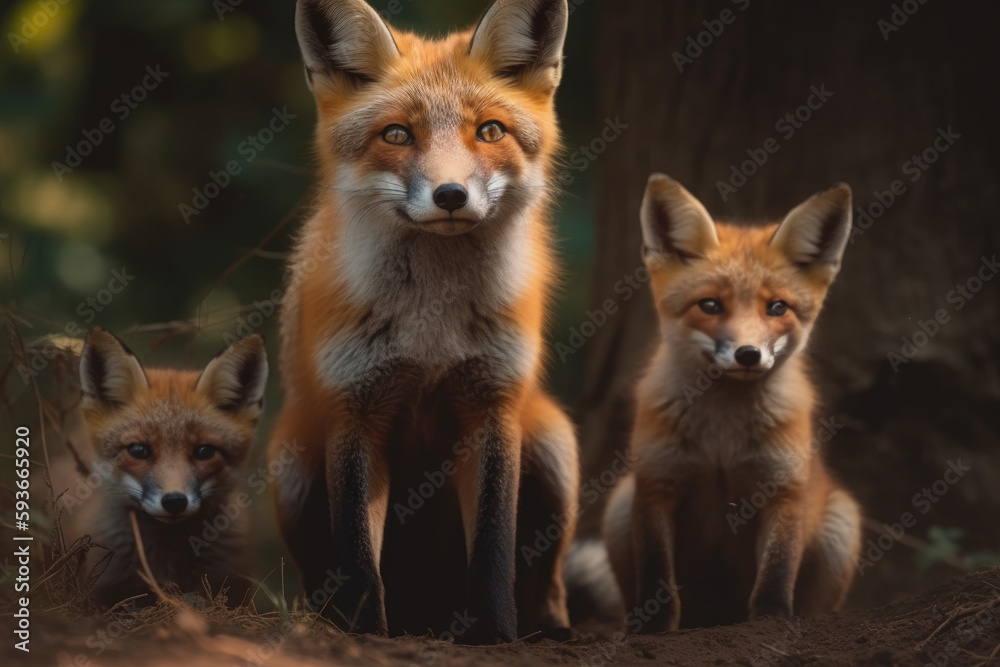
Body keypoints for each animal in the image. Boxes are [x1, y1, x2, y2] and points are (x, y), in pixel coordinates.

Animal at [266, 0, 578, 643]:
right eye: (397, 134)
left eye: (490, 131)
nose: (451, 194)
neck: (432, 330)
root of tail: (427, 610)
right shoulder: (354, 409)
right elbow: (358, 549)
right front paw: (363, 631)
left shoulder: (493, 404)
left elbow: (494, 544)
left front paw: (494, 633)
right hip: (290, 466)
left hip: (555, 447)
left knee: (550, 580)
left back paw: (546, 628)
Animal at [602, 174, 862, 631]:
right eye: (709, 305)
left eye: (777, 307)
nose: (748, 354)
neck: (722, 442)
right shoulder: (656, 483)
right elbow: (656, 574)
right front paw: (653, 625)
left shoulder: (783, 490)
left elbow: (776, 572)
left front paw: (771, 618)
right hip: (620, 506)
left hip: (840, 527)